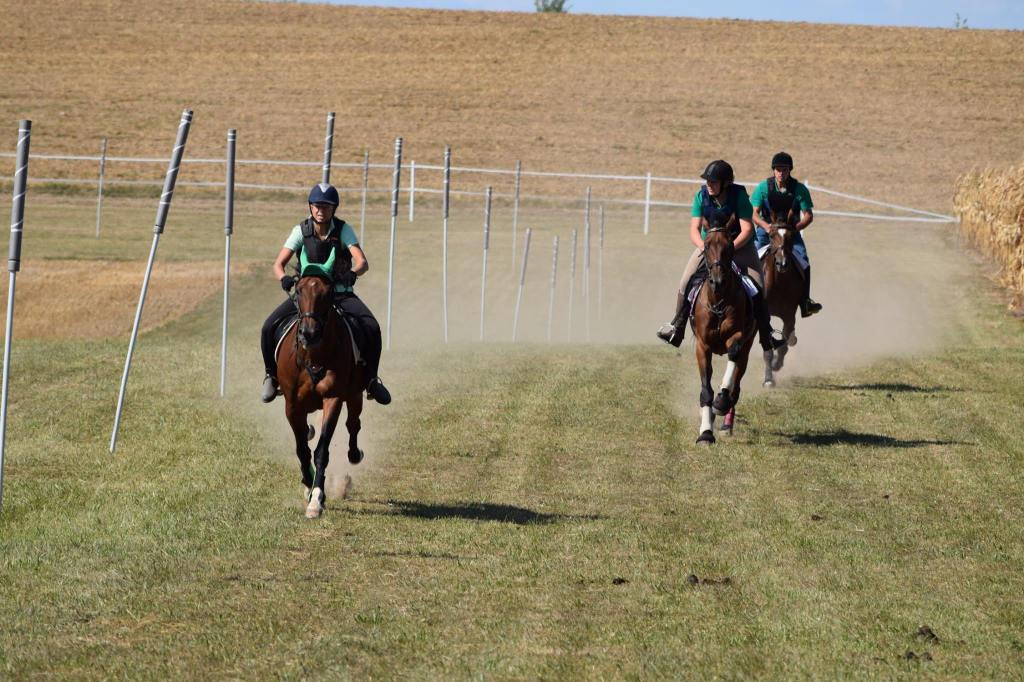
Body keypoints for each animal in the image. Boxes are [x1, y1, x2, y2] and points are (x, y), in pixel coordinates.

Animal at [277, 274, 367, 519]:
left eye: (327, 294)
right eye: (298, 290)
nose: (309, 333)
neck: (313, 356)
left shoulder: (333, 399)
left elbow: (321, 451)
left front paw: (316, 500)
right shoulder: (292, 405)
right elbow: (302, 450)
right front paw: (309, 487)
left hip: (355, 394)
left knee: (353, 423)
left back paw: (354, 455)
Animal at [691, 222, 758, 444]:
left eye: (730, 246)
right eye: (706, 245)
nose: (717, 281)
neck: (718, 301)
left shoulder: (737, 337)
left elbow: (732, 357)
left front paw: (721, 401)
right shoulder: (702, 346)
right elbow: (705, 391)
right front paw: (705, 433)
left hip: (747, 347)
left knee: (736, 386)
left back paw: (726, 416)